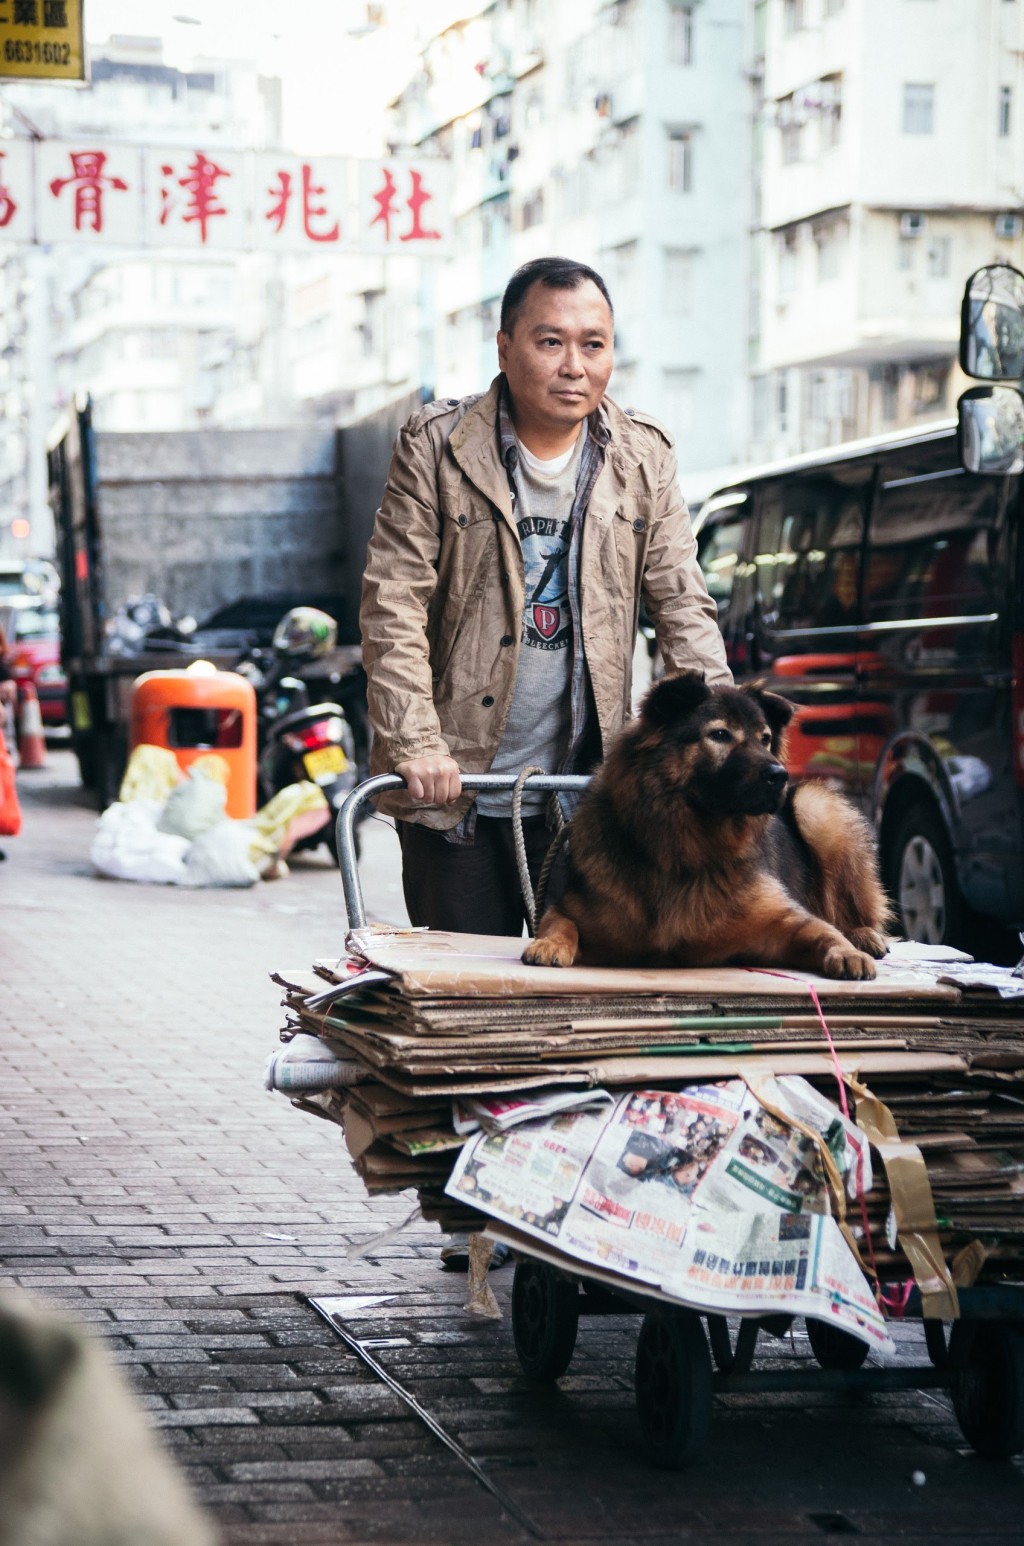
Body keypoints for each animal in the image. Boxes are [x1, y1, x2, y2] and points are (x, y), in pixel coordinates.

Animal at [525, 667, 897, 977]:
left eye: (765, 738)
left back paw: (863, 935)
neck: (689, 848)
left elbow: (824, 931)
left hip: (815, 807)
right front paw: (549, 944)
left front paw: (848, 953)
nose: (780, 775)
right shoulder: (574, 909)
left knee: (847, 911)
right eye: (719, 735)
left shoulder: (785, 920)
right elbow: (560, 922)